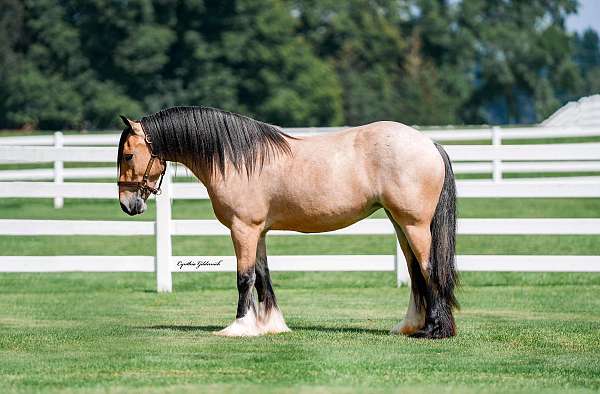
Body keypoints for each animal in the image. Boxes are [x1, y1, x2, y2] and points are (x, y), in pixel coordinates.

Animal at [117, 105, 458, 338]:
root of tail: (430, 144)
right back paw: (411, 326)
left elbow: (245, 278)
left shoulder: (243, 229)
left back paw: (434, 330)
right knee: (415, 270)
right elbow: (262, 277)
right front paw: (270, 325)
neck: (238, 160)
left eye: (128, 156)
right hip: (400, 224)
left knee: (429, 268)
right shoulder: (258, 232)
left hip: (414, 224)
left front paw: (239, 327)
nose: (127, 205)